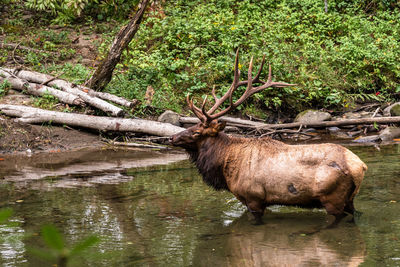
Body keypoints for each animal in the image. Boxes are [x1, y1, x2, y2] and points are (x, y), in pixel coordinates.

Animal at [170, 50, 368, 226]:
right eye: (192, 126)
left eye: (197, 132)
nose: (172, 138)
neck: (226, 164)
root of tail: (360, 166)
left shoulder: (254, 197)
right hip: (349, 199)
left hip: (332, 197)